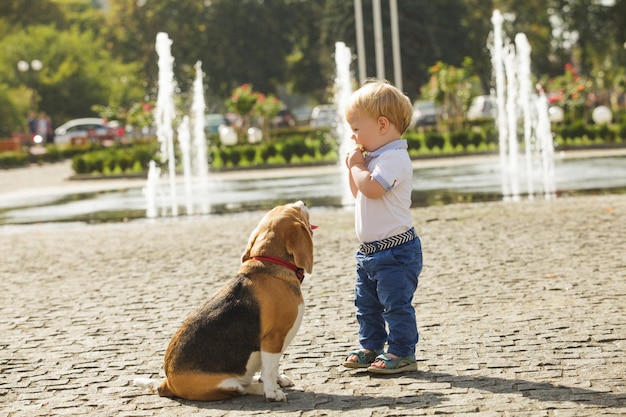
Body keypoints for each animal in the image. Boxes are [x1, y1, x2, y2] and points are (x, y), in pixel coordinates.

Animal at [135, 200, 314, 402]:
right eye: (294, 209)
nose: (302, 202)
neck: (270, 267)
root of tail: (167, 384)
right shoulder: (273, 339)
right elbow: (269, 369)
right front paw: (272, 392)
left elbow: (272, 367)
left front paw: (278, 380)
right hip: (228, 385)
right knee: (243, 388)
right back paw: (260, 387)